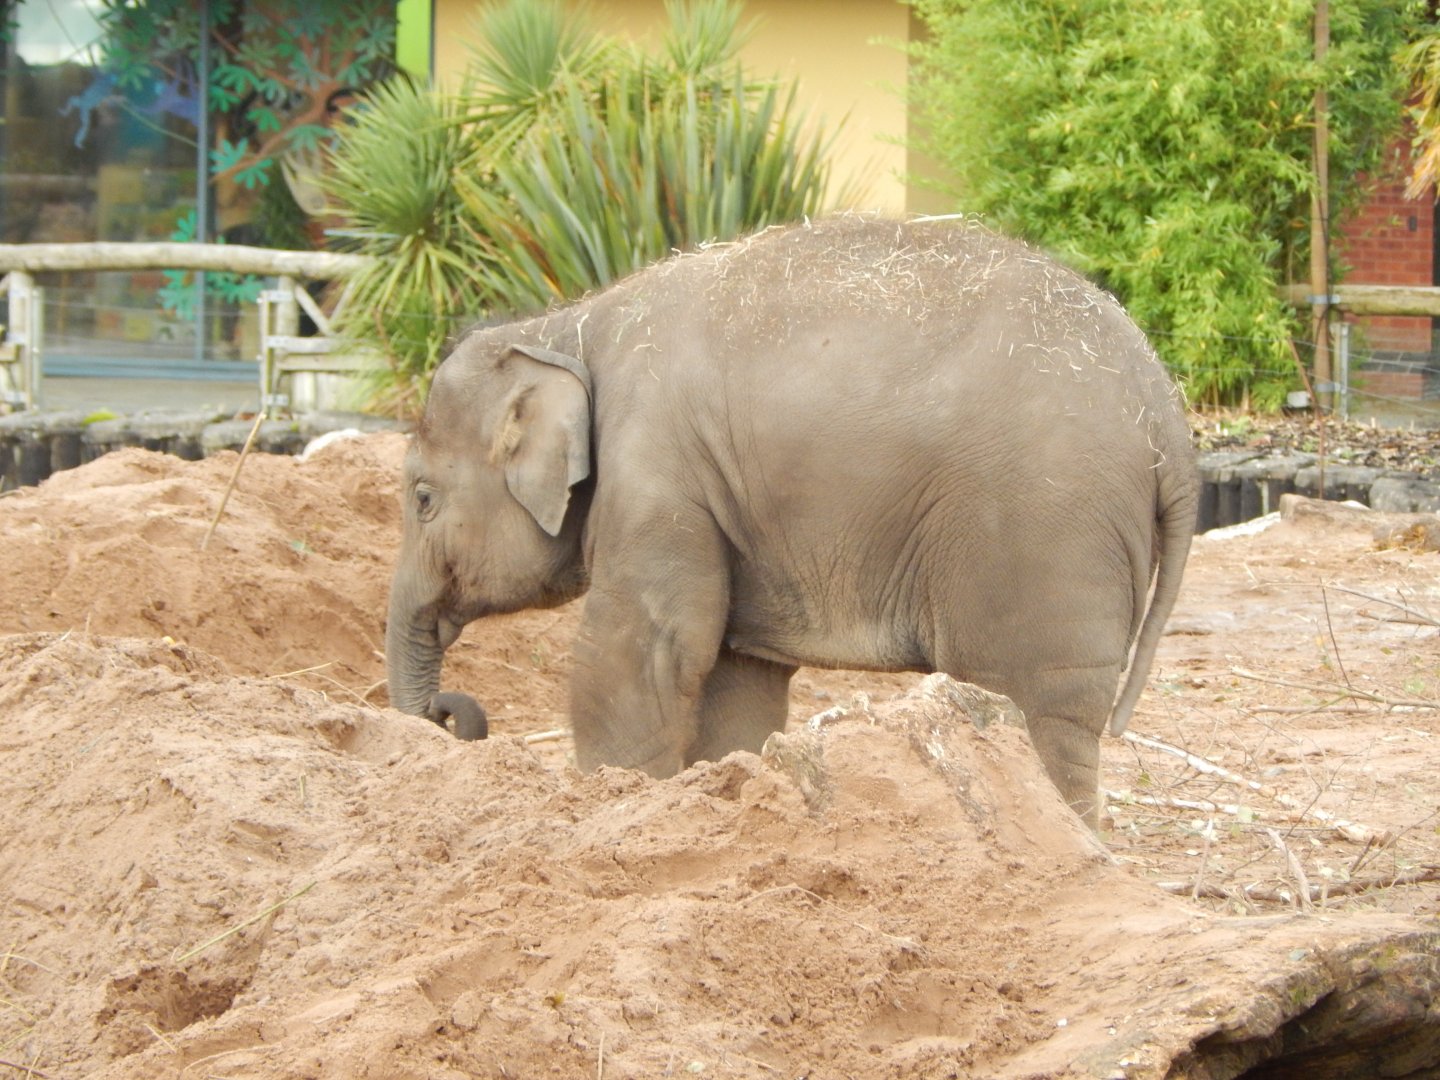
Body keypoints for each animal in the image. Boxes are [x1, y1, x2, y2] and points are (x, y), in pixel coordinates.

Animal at [385, 215, 1198, 826]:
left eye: (422, 497)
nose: (452, 713)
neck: (565, 326)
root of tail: (1167, 415)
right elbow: (733, 678)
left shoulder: (656, 475)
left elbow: (641, 651)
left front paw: (613, 803)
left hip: (1042, 542)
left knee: (1032, 706)